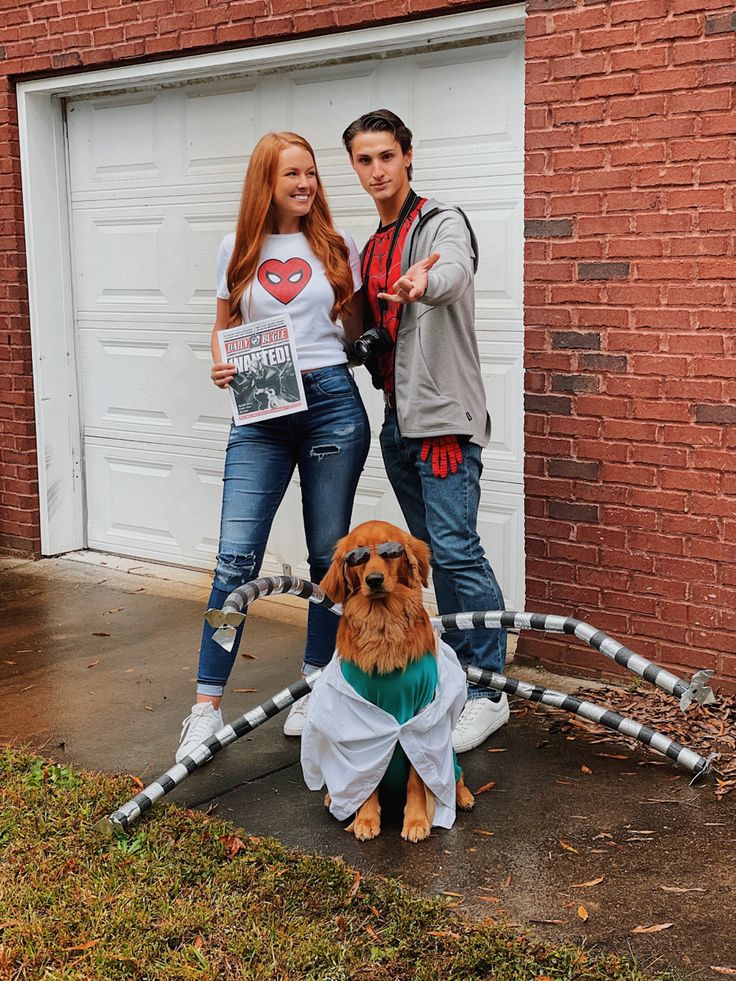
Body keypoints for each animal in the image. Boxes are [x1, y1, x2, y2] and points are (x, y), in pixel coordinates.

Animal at [320, 520, 474, 844]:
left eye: (391, 551)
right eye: (357, 557)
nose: (374, 579)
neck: (383, 624)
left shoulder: (418, 717)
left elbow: (417, 779)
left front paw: (416, 822)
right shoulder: (363, 720)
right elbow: (366, 775)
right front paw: (365, 819)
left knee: (456, 775)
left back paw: (462, 796)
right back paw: (332, 798)